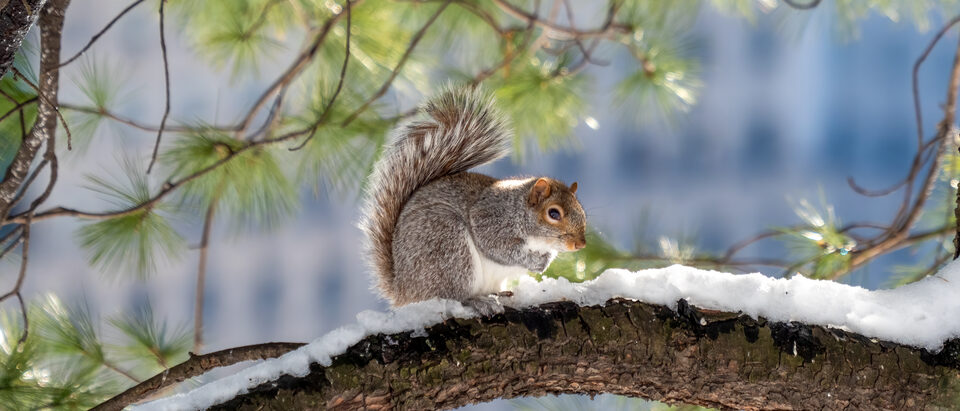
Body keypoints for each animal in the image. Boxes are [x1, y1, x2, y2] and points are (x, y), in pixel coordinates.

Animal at [359, 87, 587, 315]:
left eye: (583, 212)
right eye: (553, 213)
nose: (581, 244)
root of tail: (403, 289)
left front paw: (545, 260)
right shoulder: (490, 219)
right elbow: (498, 247)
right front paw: (535, 261)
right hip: (447, 246)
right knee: (454, 295)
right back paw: (478, 301)